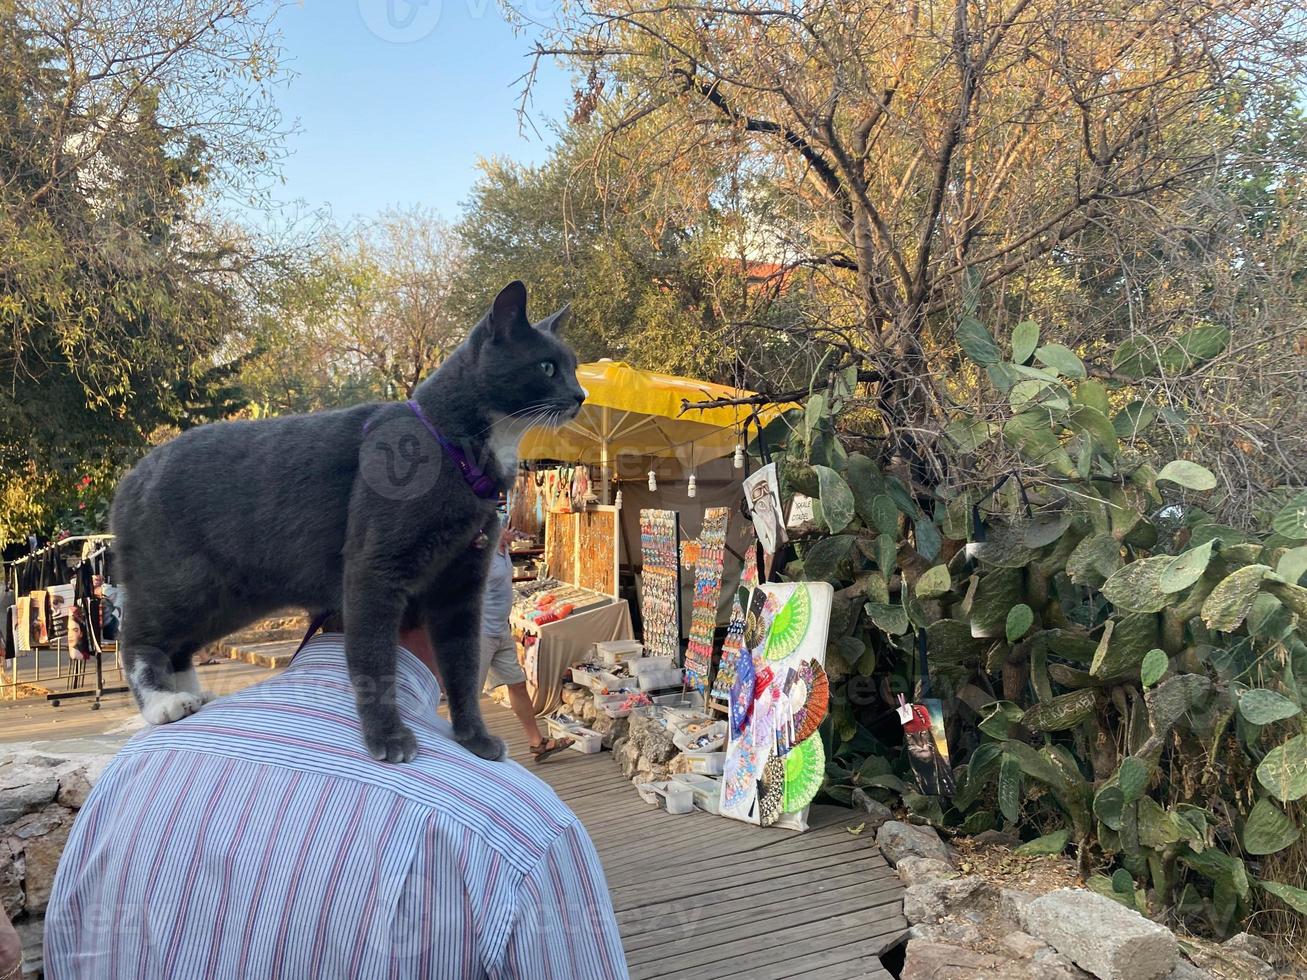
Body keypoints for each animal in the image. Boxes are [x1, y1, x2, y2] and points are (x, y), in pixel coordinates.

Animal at [108, 279, 588, 763]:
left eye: (574, 368)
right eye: (547, 366)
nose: (581, 395)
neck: (451, 445)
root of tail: (130, 478)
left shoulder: (461, 582)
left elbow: (463, 665)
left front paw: (474, 737)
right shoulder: (373, 568)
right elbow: (375, 659)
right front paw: (387, 738)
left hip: (230, 597)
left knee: (181, 643)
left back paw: (191, 695)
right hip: (183, 580)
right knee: (140, 635)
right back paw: (163, 702)